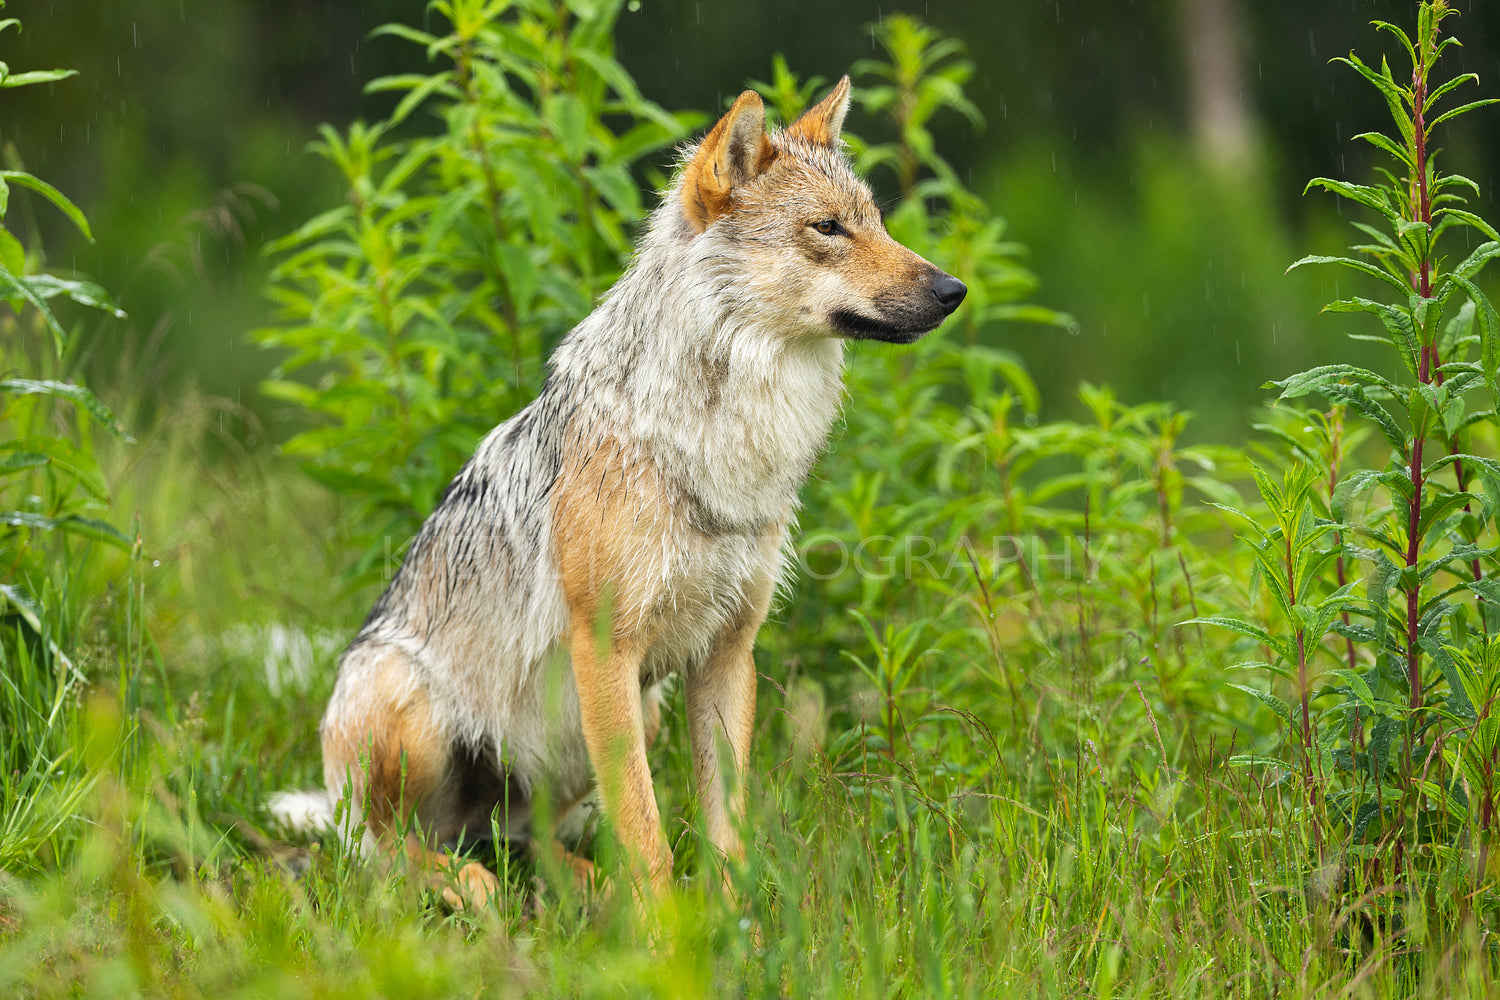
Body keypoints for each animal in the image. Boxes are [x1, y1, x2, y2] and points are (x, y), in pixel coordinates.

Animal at [271, 76, 966, 905]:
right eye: (828, 228)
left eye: (878, 222)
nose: (955, 289)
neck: (723, 442)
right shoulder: (606, 649)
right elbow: (645, 829)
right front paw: (667, 929)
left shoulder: (728, 651)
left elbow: (726, 828)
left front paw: (734, 921)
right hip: (417, 713)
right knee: (385, 853)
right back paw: (473, 887)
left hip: (628, 718)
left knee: (520, 836)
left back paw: (573, 886)